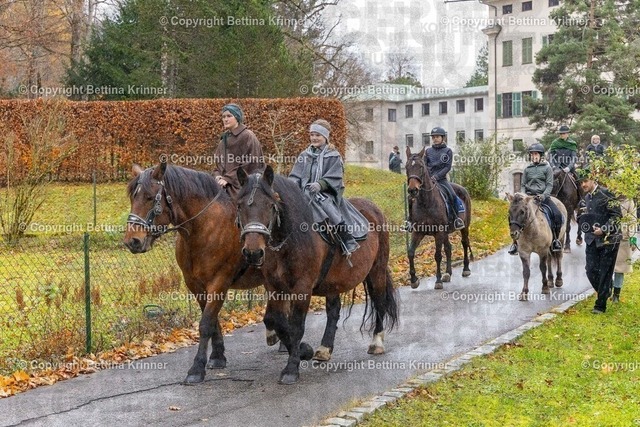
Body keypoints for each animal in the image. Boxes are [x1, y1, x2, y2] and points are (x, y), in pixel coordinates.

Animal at [124, 162, 275, 384]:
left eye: (150, 197)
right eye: (133, 197)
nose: (132, 241)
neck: (204, 228)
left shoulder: (219, 283)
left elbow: (205, 324)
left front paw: (196, 368)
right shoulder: (195, 284)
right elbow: (211, 319)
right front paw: (217, 356)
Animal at [235, 165, 399, 385]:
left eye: (270, 205)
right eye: (239, 206)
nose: (253, 252)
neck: (289, 240)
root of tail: (374, 209)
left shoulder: (302, 288)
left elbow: (296, 325)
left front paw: (291, 368)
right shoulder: (274, 287)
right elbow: (275, 320)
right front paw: (303, 350)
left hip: (376, 271)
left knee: (379, 302)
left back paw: (377, 343)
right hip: (334, 282)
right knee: (334, 311)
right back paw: (324, 349)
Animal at [405, 147, 473, 289]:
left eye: (421, 167)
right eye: (407, 167)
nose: (412, 190)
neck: (426, 203)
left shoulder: (439, 232)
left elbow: (437, 255)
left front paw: (438, 281)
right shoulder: (418, 232)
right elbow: (410, 252)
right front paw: (413, 280)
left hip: (464, 227)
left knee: (464, 243)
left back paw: (465, 269)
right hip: (446, 232)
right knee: (448, 248)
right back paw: (447, 273)